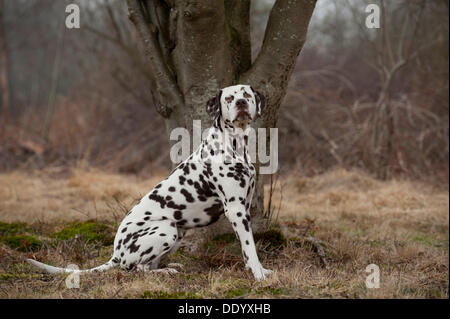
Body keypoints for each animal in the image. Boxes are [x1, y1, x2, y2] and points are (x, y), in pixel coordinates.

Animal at [29, 84, 274, 282]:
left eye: (246, 95)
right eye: (229, 98)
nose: (241, 103)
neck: (234, 145)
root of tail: (115, 254)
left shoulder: (244, 206)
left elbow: (247, 248)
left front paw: (259, 271)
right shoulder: (236, 210)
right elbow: (250, 247)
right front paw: (259, 275)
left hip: (177, 232)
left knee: (147, 265)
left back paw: (168, 268)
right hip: (166, 230)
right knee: (136, 268)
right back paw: (162, 271)